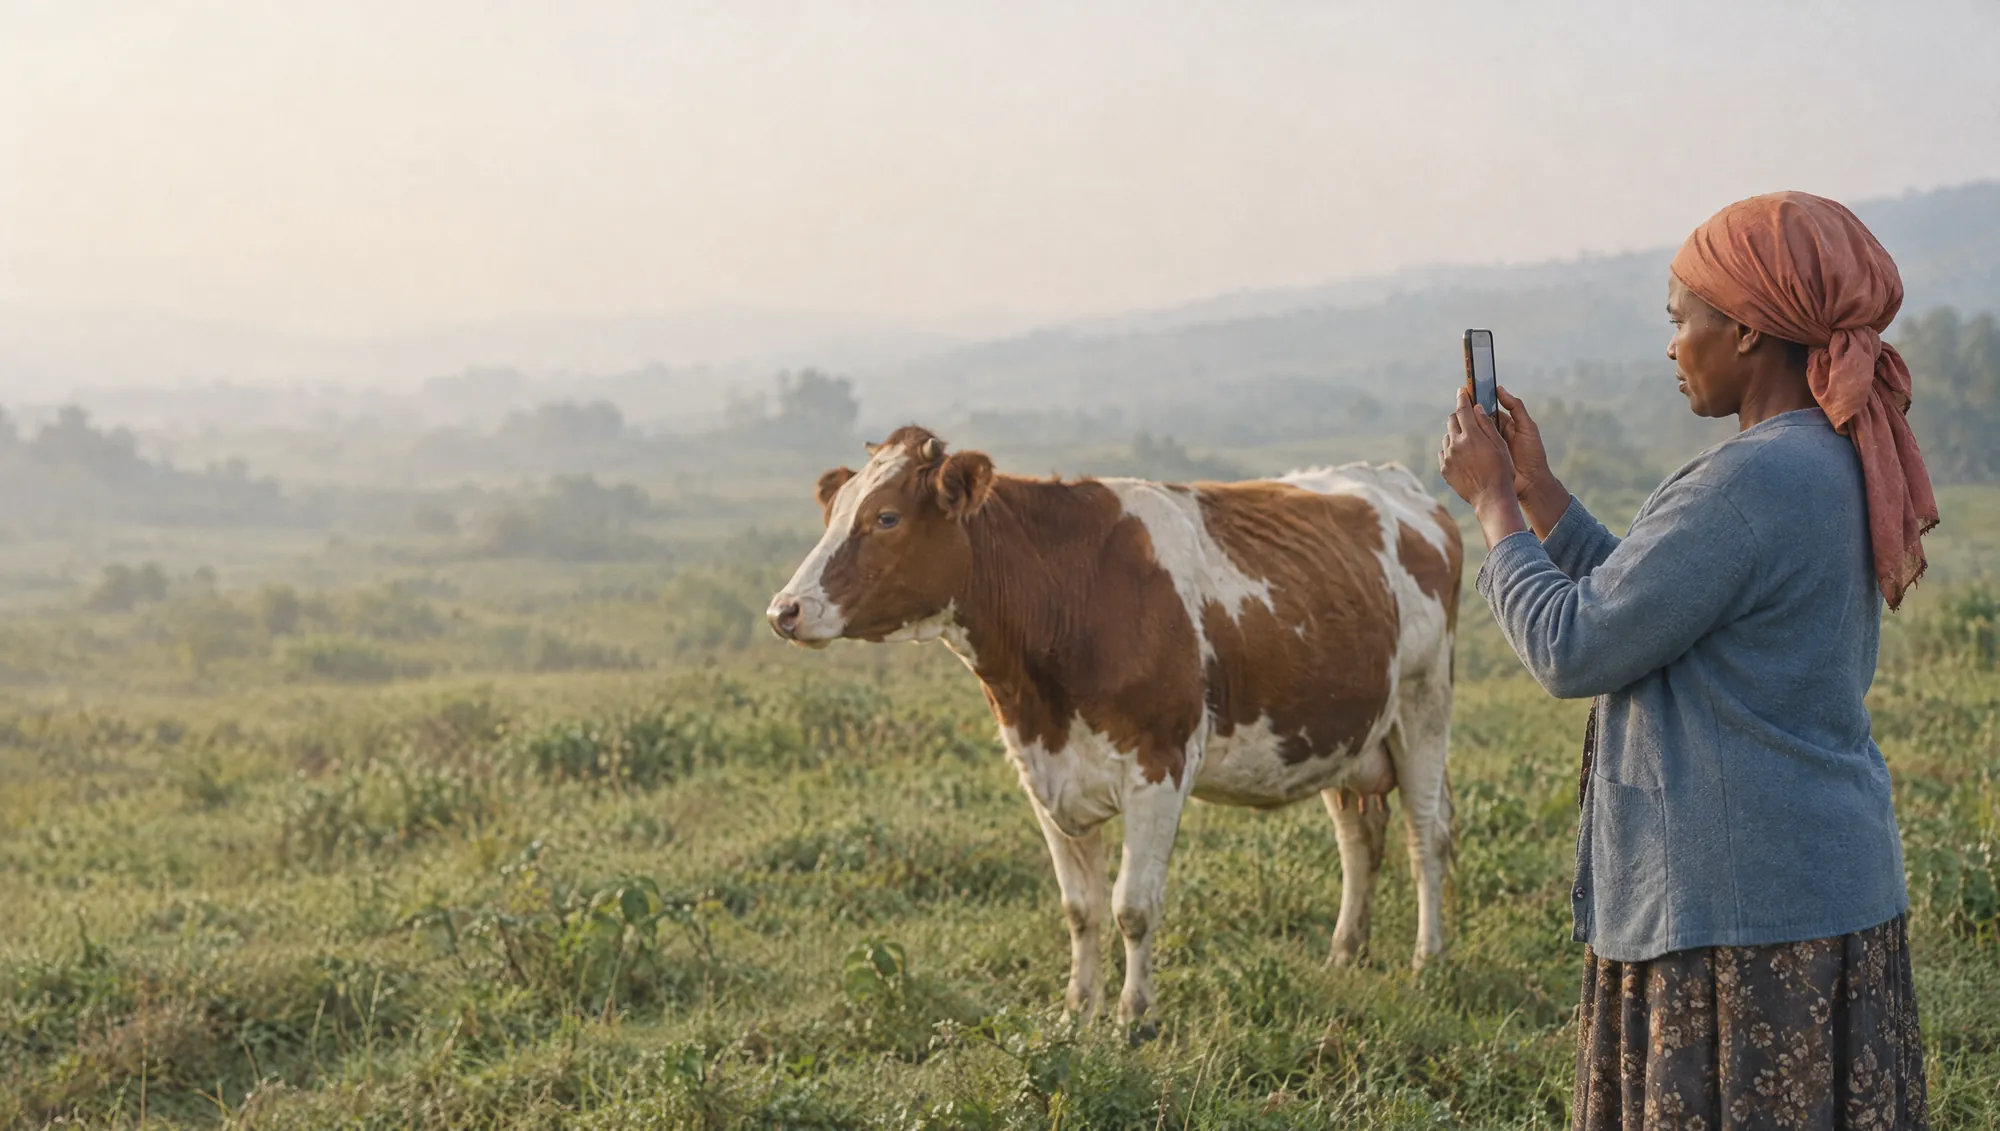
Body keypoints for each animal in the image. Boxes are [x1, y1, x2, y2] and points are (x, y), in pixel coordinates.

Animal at [766, 426, 1461, 1027]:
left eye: (886, 518)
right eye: (834, 514)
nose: (784, 610)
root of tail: (1403, 486)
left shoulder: (1160, 765)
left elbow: (1133, 907)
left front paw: (1134, 1017)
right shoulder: (1042, 773)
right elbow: (1081, 909)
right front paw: (1077, 1013)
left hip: (1424, 706)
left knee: (1425, 835)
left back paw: (1427, 960)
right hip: (1343, 734)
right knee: (1358, 836)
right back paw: (1346, 953)